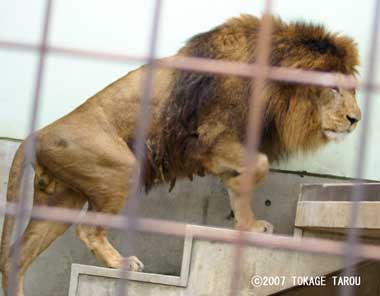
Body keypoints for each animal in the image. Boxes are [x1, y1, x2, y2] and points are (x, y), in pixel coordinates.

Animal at [1, 14, 360, 296]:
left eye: (354, 89)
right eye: (331, 88)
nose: (356, 119)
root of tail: (37, 133)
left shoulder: (221, 149)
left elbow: (241, 183)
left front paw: (245, 222)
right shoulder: (210, 136)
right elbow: (259, 165)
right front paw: (244, 198)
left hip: (62, 200)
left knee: (17, 257)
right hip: (122, 168)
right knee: (85, 230)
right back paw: (121, 262)